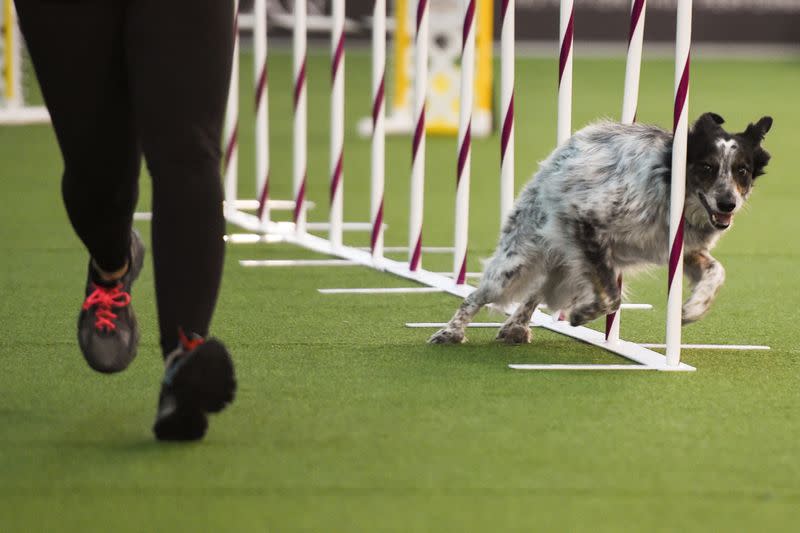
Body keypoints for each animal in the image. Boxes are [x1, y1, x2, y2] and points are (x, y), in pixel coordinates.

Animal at [428, 112, 772, 344]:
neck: (668, 186)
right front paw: (583, 313)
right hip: (518, 263)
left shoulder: (677, 248)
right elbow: (612, 296)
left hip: (562, 264)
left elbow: (717, 271)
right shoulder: (585, 222)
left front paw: (693, 308)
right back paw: (450, 332)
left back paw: (516, 326)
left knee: (536, 291)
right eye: (707, 167)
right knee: (476, 295)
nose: (728, 204)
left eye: (742, 170)